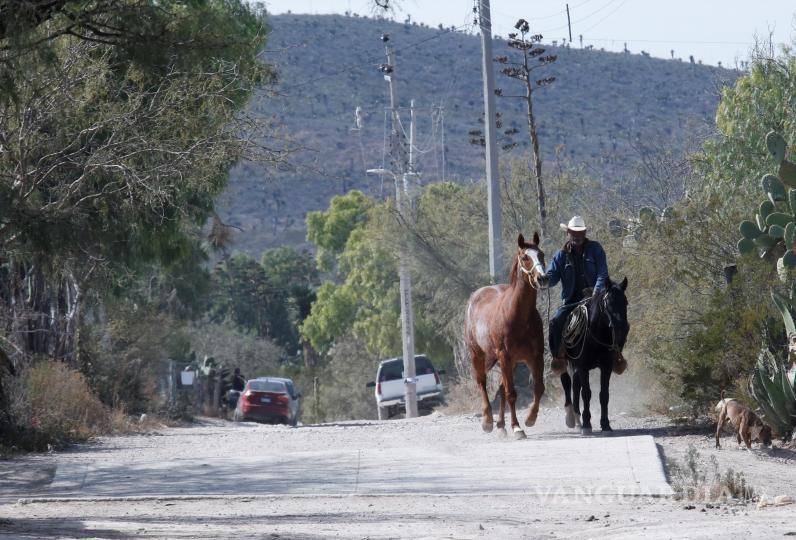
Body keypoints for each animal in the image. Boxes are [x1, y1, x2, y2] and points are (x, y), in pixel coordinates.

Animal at [464, 232, 552, 438]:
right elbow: (512, 394)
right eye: (525, 257)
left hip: (510, 363)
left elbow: (538, 388)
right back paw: (488, 421)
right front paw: (517, 427)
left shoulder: (534, 357)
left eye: (541, 254)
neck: (518, 316)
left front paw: (530, 418)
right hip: (478, 355)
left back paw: (501, 426)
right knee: (482, 382)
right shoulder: (505, 356)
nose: (543, 278)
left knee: (502, 388)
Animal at [560, 278, 628, 434]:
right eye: (608, 302)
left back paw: (577, 419)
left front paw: (606, 424)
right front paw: (587, 424)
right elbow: (586, 393)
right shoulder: (583, 367)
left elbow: (604, 395)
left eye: (626, 302)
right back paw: (574, 419)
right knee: (570, 383)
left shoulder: (606, 367)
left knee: (575, 385)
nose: (623, 328)